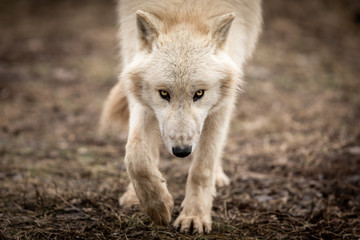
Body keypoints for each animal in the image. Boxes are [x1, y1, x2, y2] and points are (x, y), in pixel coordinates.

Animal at [100, 0, 262, 233]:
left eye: (199, 93)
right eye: (164, 93)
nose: (182, 151)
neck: (185, 9)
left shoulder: (223, 102)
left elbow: (202, 167)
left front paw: (194, 216)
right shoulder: (140, 95)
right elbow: (135, 154)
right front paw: (158, 205)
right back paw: (135, 195)